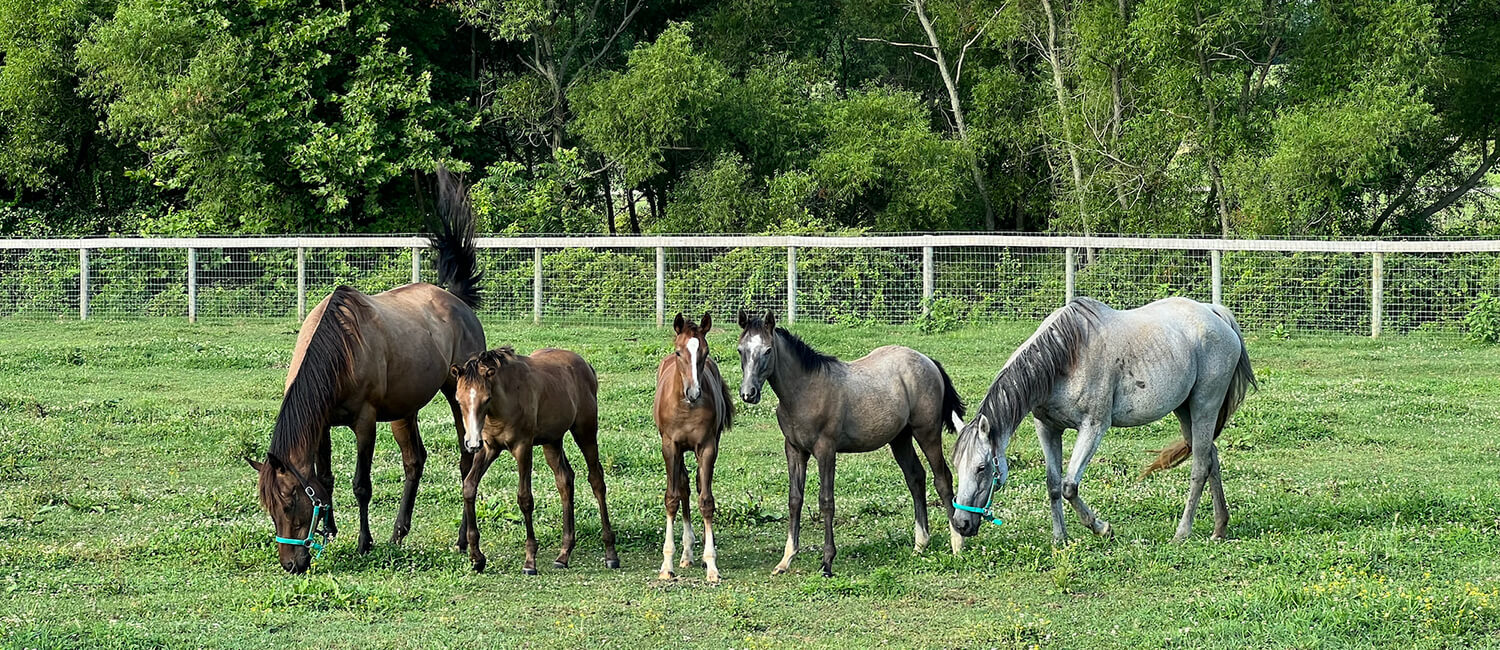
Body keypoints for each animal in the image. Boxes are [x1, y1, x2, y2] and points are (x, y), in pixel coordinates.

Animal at [244, 168, 480, 573]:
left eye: (289, 504)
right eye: (269, 508)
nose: (291, 564)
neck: (339, 351)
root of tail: (456, 300)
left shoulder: (365, 422)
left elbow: (361, 484)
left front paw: (363, 542)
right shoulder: (322, 423)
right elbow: (325, 478)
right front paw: (330, 530)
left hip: (456, 396)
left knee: (466, 460)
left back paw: (462, 539)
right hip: (404, 410)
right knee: (414, 461)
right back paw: (399, 533)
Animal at [447, 345, 618, 573]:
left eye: (486, 399)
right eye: (459, 400)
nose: (471, 443)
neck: (503, 403)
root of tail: (585, 365)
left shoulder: (523, 447)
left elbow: (525, 499)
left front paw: (529, 561)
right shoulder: (489, 448)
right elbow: (469, 487)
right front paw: (476, 557)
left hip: (585, 432)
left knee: (596, 480)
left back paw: (610, 553)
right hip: (552, 441)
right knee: (565, 481)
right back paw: (563, 554)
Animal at [651, 312, 732, 579]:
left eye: (705, 352)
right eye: (679, 352)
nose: (694, 392)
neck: (686, 407)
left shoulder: (707, 447)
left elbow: (706, 501)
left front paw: (712, 564)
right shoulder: (670, 446)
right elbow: (672, 498)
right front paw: (667, 564)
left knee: (695, 484)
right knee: (684, 486)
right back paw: (686, 553)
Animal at [735, 309, 966, 576]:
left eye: (768, 350)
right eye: (740, 350)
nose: (748, 394)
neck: (804, 391)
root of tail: (928, 361)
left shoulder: (826, 450)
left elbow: (826, 501)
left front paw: (827, 562)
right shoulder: (794, 450)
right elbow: (795, 500)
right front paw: (785, 559)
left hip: (926, 432)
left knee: (942, 479)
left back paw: (957, 544)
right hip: (900, 438)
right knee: (915, 478)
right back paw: (920, 545)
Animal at [948, 297, 1254, 543]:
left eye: (982, 468)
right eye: (956, 466)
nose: (961, 524)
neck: (1066, 357)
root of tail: (1214, 313)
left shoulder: (1093, 427)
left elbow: (1069, 486)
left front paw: (1101, 528)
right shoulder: (1048, 429)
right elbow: (1053, 485)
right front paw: (1060, 539)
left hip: (1205, 406)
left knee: (1200, 467)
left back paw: (1182, 533)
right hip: (1185, 411)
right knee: (1211, 458)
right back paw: (1219, 528)